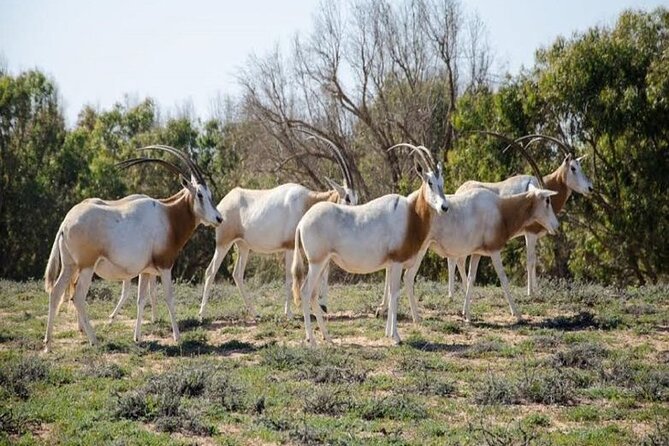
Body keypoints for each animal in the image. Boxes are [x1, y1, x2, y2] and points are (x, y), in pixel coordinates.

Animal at [43, 146, 222, 352]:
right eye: (200, 195)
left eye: (209, 194)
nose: (219, 218)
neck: (168, 216)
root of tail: (65, 223)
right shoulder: (165, 266)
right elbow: (169, 297)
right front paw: (177, 337)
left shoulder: (146, 271)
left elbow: (141, 300)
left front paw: (137, 337)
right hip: (86, 267)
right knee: (77, 297)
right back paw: (94, 340)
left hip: (70, 265)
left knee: (55, 293)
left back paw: (48, 344)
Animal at [197, 130, 358, 320]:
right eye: (347, 198)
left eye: (356, 198)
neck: (306, 202)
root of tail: (223, 203)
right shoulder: (289, 247)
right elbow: (289, 277)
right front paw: (289, 313)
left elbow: (323, 273)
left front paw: (323, 306)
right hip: (224, 243)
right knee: (211, 271)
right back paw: (201, 314)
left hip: (243, 246)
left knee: (237, 274)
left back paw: (255, 313)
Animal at [292, 145, 448, 344]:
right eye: (429, 182)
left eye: (441, 181)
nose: (444, 207)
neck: (411, 214)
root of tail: (302, 222)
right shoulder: (397, 263)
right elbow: (394, 294)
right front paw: (396, 337)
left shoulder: (391, 264)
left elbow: (391, 293)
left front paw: (388, 333)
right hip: (316, 263)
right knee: (305, 292)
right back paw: (312, 341)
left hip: (322, 263)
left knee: (312, 295)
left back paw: (328, 338)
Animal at [452, 134, 592, 298]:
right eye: (573, 167)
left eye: (580, 166)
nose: (590, 187)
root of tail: (459, 190)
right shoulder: (530, 232)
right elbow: (530, 260)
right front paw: (531, 293)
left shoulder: (532, 234)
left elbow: (535, 260)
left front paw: (537, 290)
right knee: (459, 259)